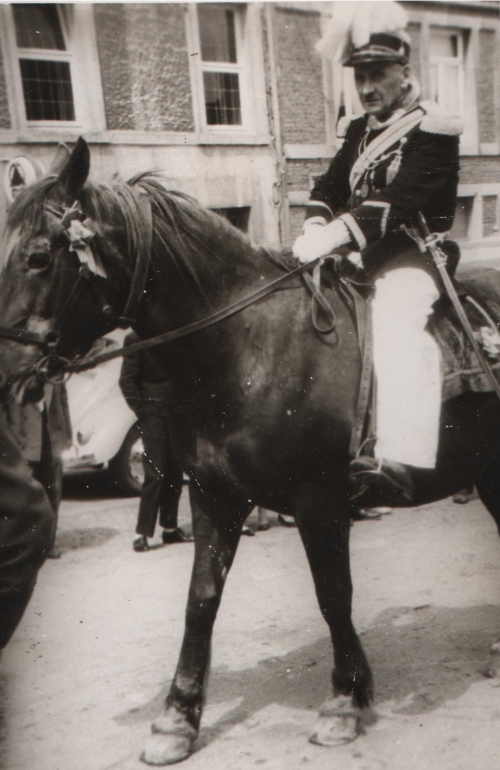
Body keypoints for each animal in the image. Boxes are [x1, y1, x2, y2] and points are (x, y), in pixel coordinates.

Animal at [1, 137, 500, 765]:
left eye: (39, 257)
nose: (5, 371)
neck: (249, 346)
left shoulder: (319, 501)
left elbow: (333, 595)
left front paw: (344, 701)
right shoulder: (215, 497)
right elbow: (201, 600)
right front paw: (177, 718)